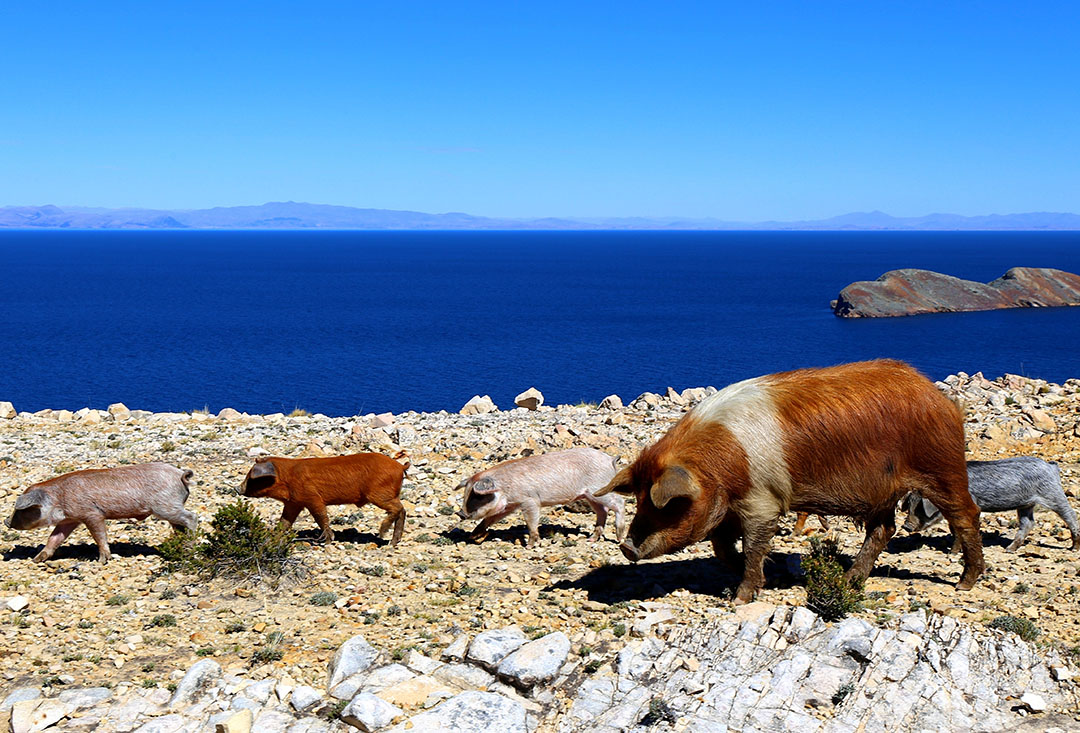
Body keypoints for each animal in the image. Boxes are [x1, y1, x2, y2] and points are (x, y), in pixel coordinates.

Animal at [5, 464, 198, 565]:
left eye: (20, 509)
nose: (6, 521)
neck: (58, 500)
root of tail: (180, 475)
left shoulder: (91, 513)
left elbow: (99, 535)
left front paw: (102, 561)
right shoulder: (69, 520)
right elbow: (54, 538)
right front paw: (37, 559)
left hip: (165, 506)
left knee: (191, 517)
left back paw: (190, 544)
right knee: (179, 527)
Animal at [455, 446, 626, 550]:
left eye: (477, 496)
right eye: (466, 494)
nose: (460, 513)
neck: (505, 488)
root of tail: (610, 460)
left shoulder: (530, 500)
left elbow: (531, 522)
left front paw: (529, 546)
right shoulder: (510, 505)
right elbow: (491, 518)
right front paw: (473, 535)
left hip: (598, 489)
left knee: (619, 503)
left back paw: (619, 538)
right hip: (589, 496)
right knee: (602, 511)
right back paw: (590, 540)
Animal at [596, 358, 984, 604]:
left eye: (666, 505)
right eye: (639, 499)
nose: (626, 547)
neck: (725, 464)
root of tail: (943, 401)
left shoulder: (762, 501)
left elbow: (754, 546)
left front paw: (741, 598)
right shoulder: (727, 507)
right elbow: (722, 547)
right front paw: (768, 574)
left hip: (941, 466)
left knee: (966, 514)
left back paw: (965, 584)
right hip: (883, 492)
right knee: (883, 529)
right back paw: (850, 580)